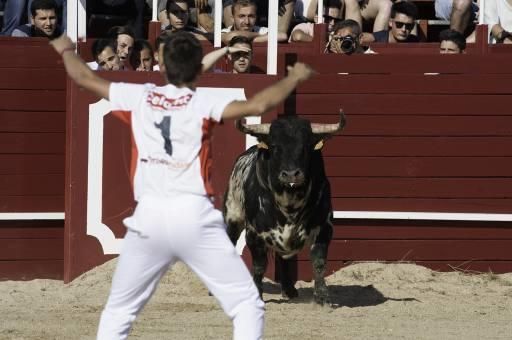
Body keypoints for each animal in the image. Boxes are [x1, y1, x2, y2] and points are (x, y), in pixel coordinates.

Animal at [223, 111, 346, 306]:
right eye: (275, 146)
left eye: (306, 146)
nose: (291, 174)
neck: (290, 202)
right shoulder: (254, 234)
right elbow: (259, 265)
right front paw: (257, 294)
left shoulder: (324, 227)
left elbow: (319, 262)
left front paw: (323, 297)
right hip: (233, 217)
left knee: (284, 259)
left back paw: (289, 290)